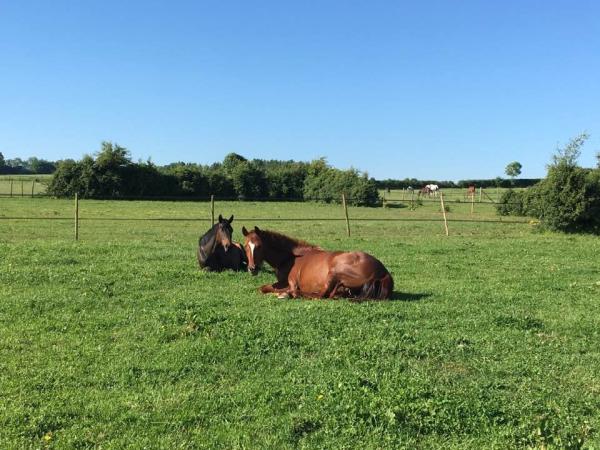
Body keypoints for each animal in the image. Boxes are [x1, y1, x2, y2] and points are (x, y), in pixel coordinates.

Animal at [239, 227, 394, 300]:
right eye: (246, 246)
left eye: (259, 246)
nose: (252, 269)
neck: (290, 257)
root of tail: (383, 271)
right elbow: (264, 287)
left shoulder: (290, 283)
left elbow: (268, 288)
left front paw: (283, 293)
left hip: (334, 273)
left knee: (322, 295)